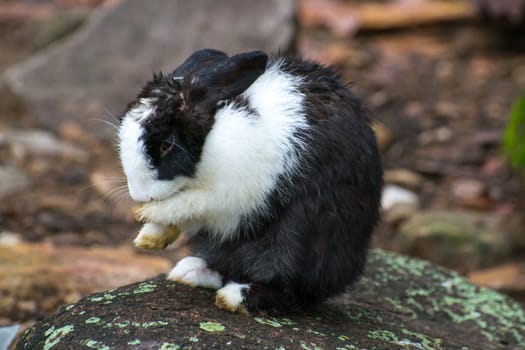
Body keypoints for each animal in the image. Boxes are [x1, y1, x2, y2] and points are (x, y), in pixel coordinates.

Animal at [117, 47, 380, 314]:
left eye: (166, 144)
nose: (139, 195)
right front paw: (149, 237)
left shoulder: (231, 193)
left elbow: (189, 204)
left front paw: (148, 216)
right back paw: (190, 272)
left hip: (299, 238)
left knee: (290, 288)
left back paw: (235, 296)